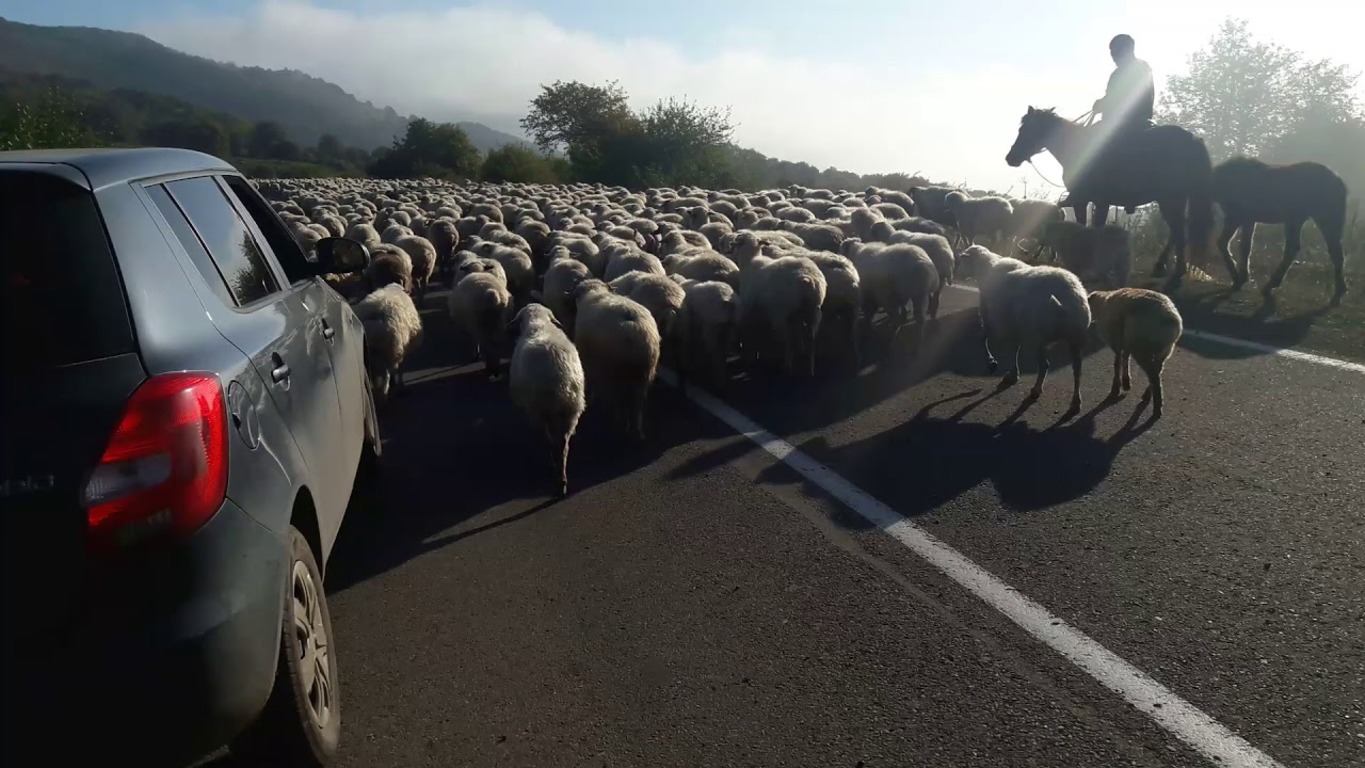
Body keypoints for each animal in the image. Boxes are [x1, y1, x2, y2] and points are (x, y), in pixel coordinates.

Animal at [505, 304, 584, 496]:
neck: (539, 324)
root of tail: (559, 380)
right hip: (571, 409)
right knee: (563, 445)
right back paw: (562, 479)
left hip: (541, 409)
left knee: (551, 441)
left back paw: (556, 474)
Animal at [573, 281, 663, 439]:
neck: (595, 292)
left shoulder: (589, 358)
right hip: (644, 375)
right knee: (637, 404)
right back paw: (637, 429)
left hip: (617, 371)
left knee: (620, 400)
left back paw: (621, 423)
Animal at [955, 245, 1092, 414]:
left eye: (963, 261)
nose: (957, 273)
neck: (987, 268)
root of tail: (1066, 302)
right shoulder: (1015, 325)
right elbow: (1015, 348)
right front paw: (1013, 374)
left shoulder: (992, 316)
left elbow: (984, 338)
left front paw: (991, 362)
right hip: (1076, 337)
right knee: (1077, 369)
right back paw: (1076, 402)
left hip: (1040, 335)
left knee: (1045, 365)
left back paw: (1036, 390)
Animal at [1004, 105, 1217, 291]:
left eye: (1027, 129)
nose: (1010, 158)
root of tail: (1192, 138)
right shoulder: (1095, 202)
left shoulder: (1088, 201)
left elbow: (1089, 227)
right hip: (1176, 198)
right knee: (1177, 230)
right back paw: (1162, 268)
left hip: (1171, 198)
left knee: (1179, 230)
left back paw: (1174, 275)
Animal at [1086, 289, 1184, 420]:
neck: (1101, 305)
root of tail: (1170, 319)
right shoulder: (1125, 343)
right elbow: (1125, 359)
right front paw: (1126, 382)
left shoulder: (1116, 342)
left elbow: (1117, 363)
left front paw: (1116, 389)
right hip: (1164, 351)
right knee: (1157, 372)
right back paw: (1148, 395)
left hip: (1141, 349)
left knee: (1153, 376)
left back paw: (1157, 408)